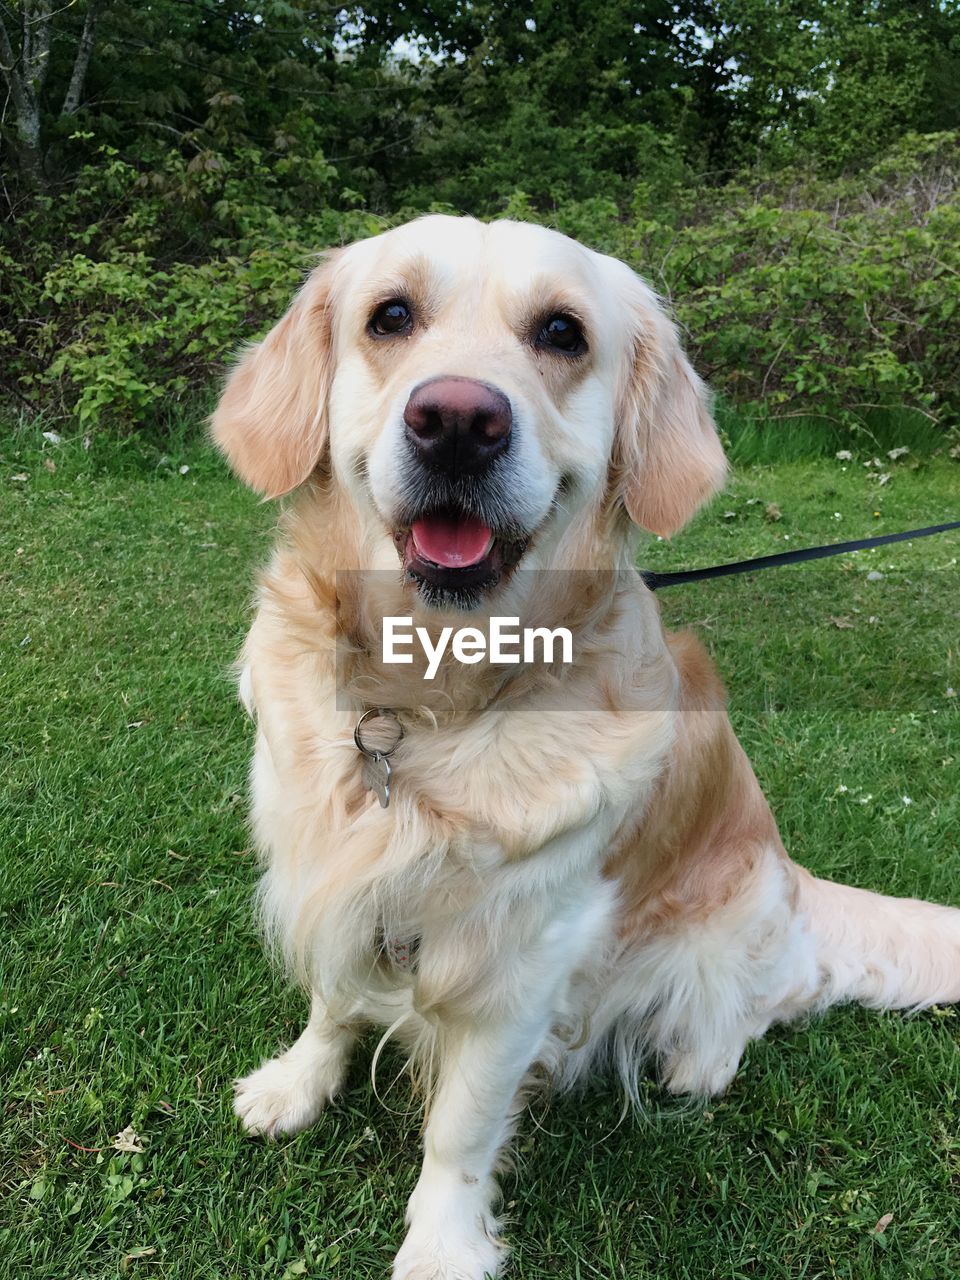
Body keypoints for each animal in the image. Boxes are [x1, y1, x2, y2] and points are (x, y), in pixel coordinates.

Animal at [212, 217, 960, 1280]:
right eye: (390, 316)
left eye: (562, 333)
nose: (456, 421)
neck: (426, 707)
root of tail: (797, 888)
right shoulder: (329, 862)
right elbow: (332, 991)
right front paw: (298, 1081)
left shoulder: (527, 959)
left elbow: (461, 1126)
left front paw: (442, 1243)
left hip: (727, 938)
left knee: (746, 1015)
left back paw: (694, 1059)